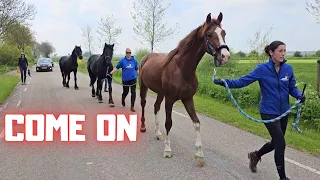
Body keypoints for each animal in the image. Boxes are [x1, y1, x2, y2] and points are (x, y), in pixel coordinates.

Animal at [138, 12, 230, 166]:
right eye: (209, 34)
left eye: (224, 32)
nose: (225, 56)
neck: (182, 70)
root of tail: (146, 57)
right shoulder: (170, 99)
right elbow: (168, 123)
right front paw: (167, 150)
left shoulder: (188, 99)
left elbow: (197, 123)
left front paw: (199, 154)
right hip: (143, 87)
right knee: (143, 104)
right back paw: (143, 127)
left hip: (160, 93)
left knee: (156, 107)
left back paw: (158, 133)